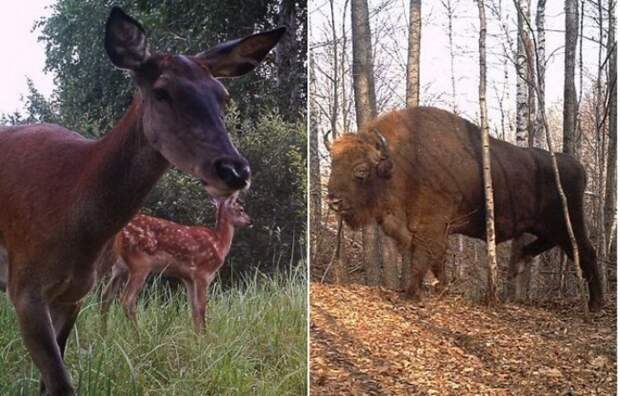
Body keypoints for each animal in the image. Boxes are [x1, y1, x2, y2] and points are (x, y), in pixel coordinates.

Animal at [104, 193, 252, 332]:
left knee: (106, 295)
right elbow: (202, 307)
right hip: (140, 262)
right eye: (241, 209)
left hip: (120, 267)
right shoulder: (203, 273)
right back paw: (138, 336)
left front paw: (196, 336)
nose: (249, 221)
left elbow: (194, 308)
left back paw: (104, 332)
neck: (219, 244)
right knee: (126, 299)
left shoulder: (188, 278)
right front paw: (205, 337)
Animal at [326, 106, 604, 310]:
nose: (333, 201)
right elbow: (436, 260)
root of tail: (578, 166)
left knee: (586, 252)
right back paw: (519, 263)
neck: (399, 164)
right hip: (546, 225)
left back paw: (596, 304)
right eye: (333, 164)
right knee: (550, 245)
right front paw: (441, 288)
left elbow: (423, 258)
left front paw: (411, 294)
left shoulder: (431, 226)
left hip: (567, 222)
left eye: (361, 171)